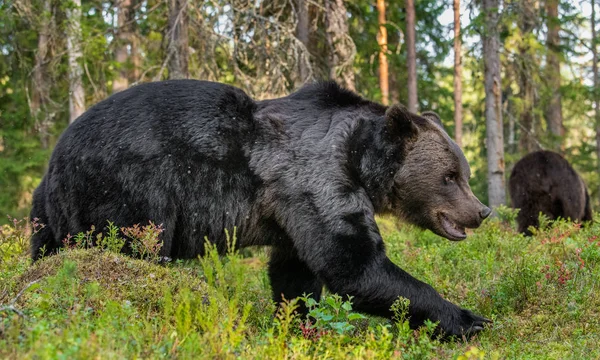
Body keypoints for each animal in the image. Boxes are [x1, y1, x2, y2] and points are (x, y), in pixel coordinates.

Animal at [30, 79, 492, 338]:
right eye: (450, 176)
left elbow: (296, 273)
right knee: (132, 247)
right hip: (129, 188)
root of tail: (57, 155)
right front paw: (469, 319)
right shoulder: (315, 178)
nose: (482, 210)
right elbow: (354, 266)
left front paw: (304, 325)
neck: (357, 159)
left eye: (464, 172)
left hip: (46, 208)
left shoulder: (294, 206)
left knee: (44, 246)